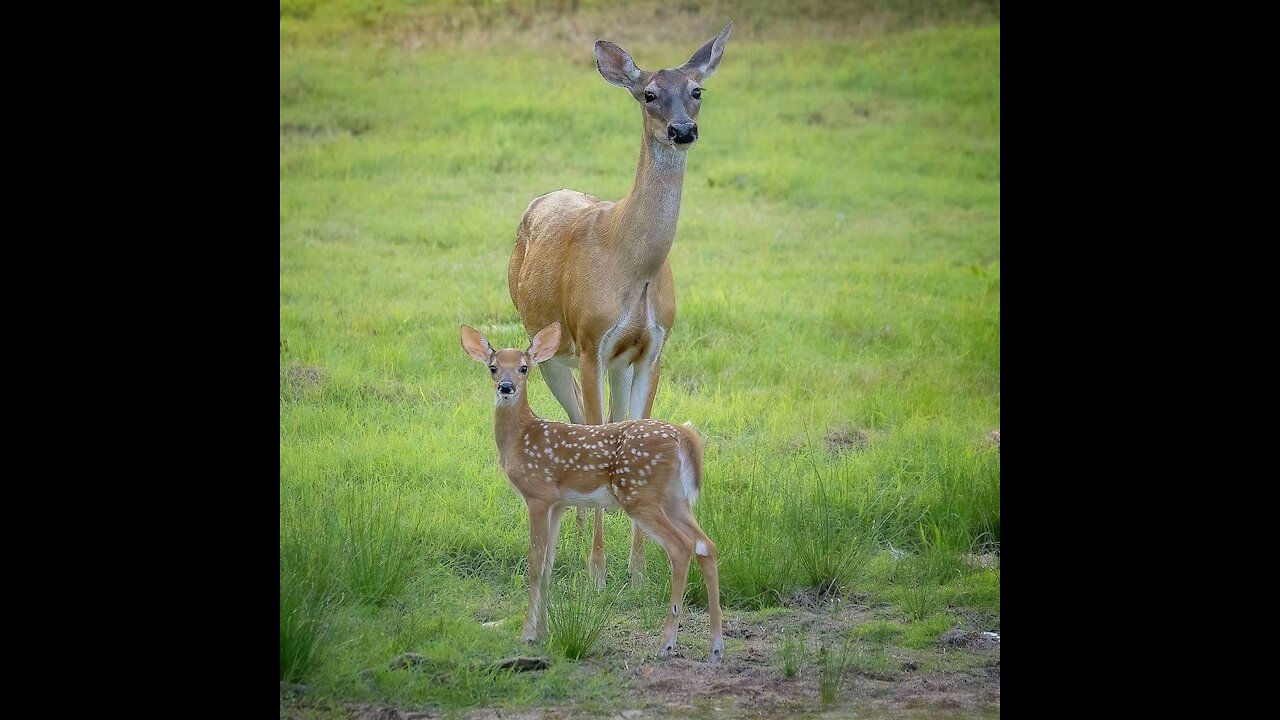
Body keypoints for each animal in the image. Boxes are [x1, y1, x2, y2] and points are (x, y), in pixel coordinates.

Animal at [460, 322, 727, 661]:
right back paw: (716, 646)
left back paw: (666, 643)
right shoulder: (559, 503)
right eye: (493, 368)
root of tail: (683, 436)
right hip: (675, 498)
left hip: (639, 494)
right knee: (707, 545)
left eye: (523, 368)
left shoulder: (537, 494)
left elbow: (534, 563)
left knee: (681, 547)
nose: (506, 387)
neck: (520, 438)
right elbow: (548, 565)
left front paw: (527, 634)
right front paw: (543, 633)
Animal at [506, 22, 737, 586]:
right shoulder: (591, 341)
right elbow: (595, 431)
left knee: (606, 423)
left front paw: (637, 569)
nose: (682, 130)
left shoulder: (653, 348)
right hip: (548, 347)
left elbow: (636, 427)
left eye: (698, 91)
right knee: (580, 422)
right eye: (649, 94)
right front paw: (597, 571)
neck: (632, 264)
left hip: (615, 364)